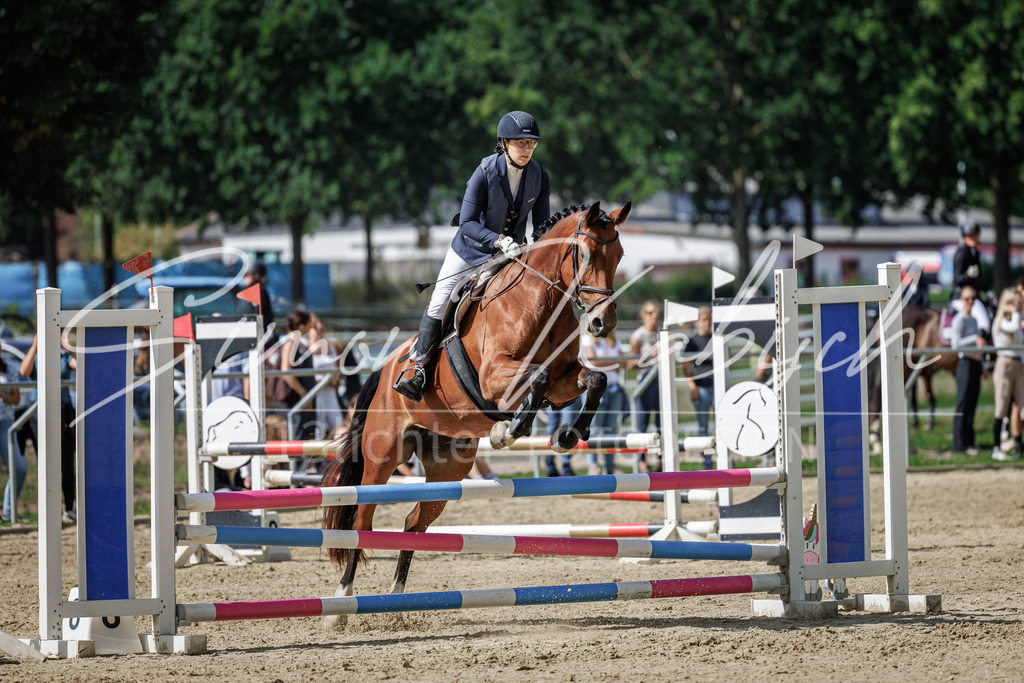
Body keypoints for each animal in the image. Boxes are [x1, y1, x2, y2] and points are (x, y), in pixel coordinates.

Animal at [319, 202, 630, 628]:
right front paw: (508, 430)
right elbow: (536, 378)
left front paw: (567, 435)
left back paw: (396, 602)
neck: (541, 301)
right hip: (382, 456)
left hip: (448, 468)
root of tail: (383, 370)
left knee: (413, 523)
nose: (604, 323)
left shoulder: (565, 380)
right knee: (362, 522)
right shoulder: (494, 375)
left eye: (620, 256)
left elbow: (595, 379)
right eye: (582, 255)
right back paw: (341, 606)